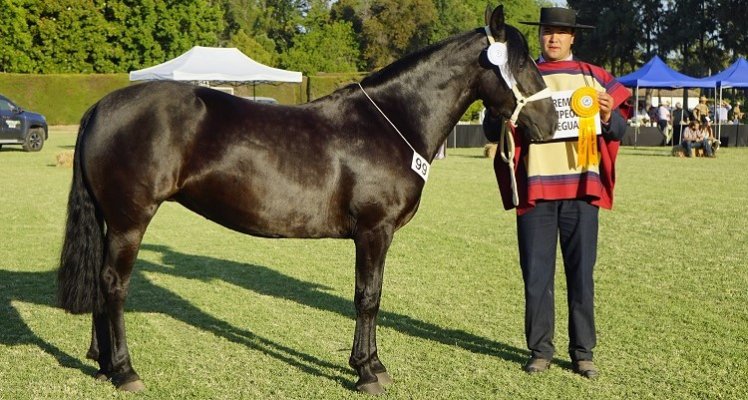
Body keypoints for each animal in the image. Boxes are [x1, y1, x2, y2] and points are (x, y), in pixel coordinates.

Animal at [57, 4, 556, 396]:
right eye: (522, 63)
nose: (551, 122)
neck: (390, 122)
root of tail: (101, 107)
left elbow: (371, 296)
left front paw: (371, 366)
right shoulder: (374, 232)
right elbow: (368, 297)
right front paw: (367, 372)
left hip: (112, 221)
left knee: (102, 282)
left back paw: (102, 365)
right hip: (130, 221)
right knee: (114, 285)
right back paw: (125, 371)